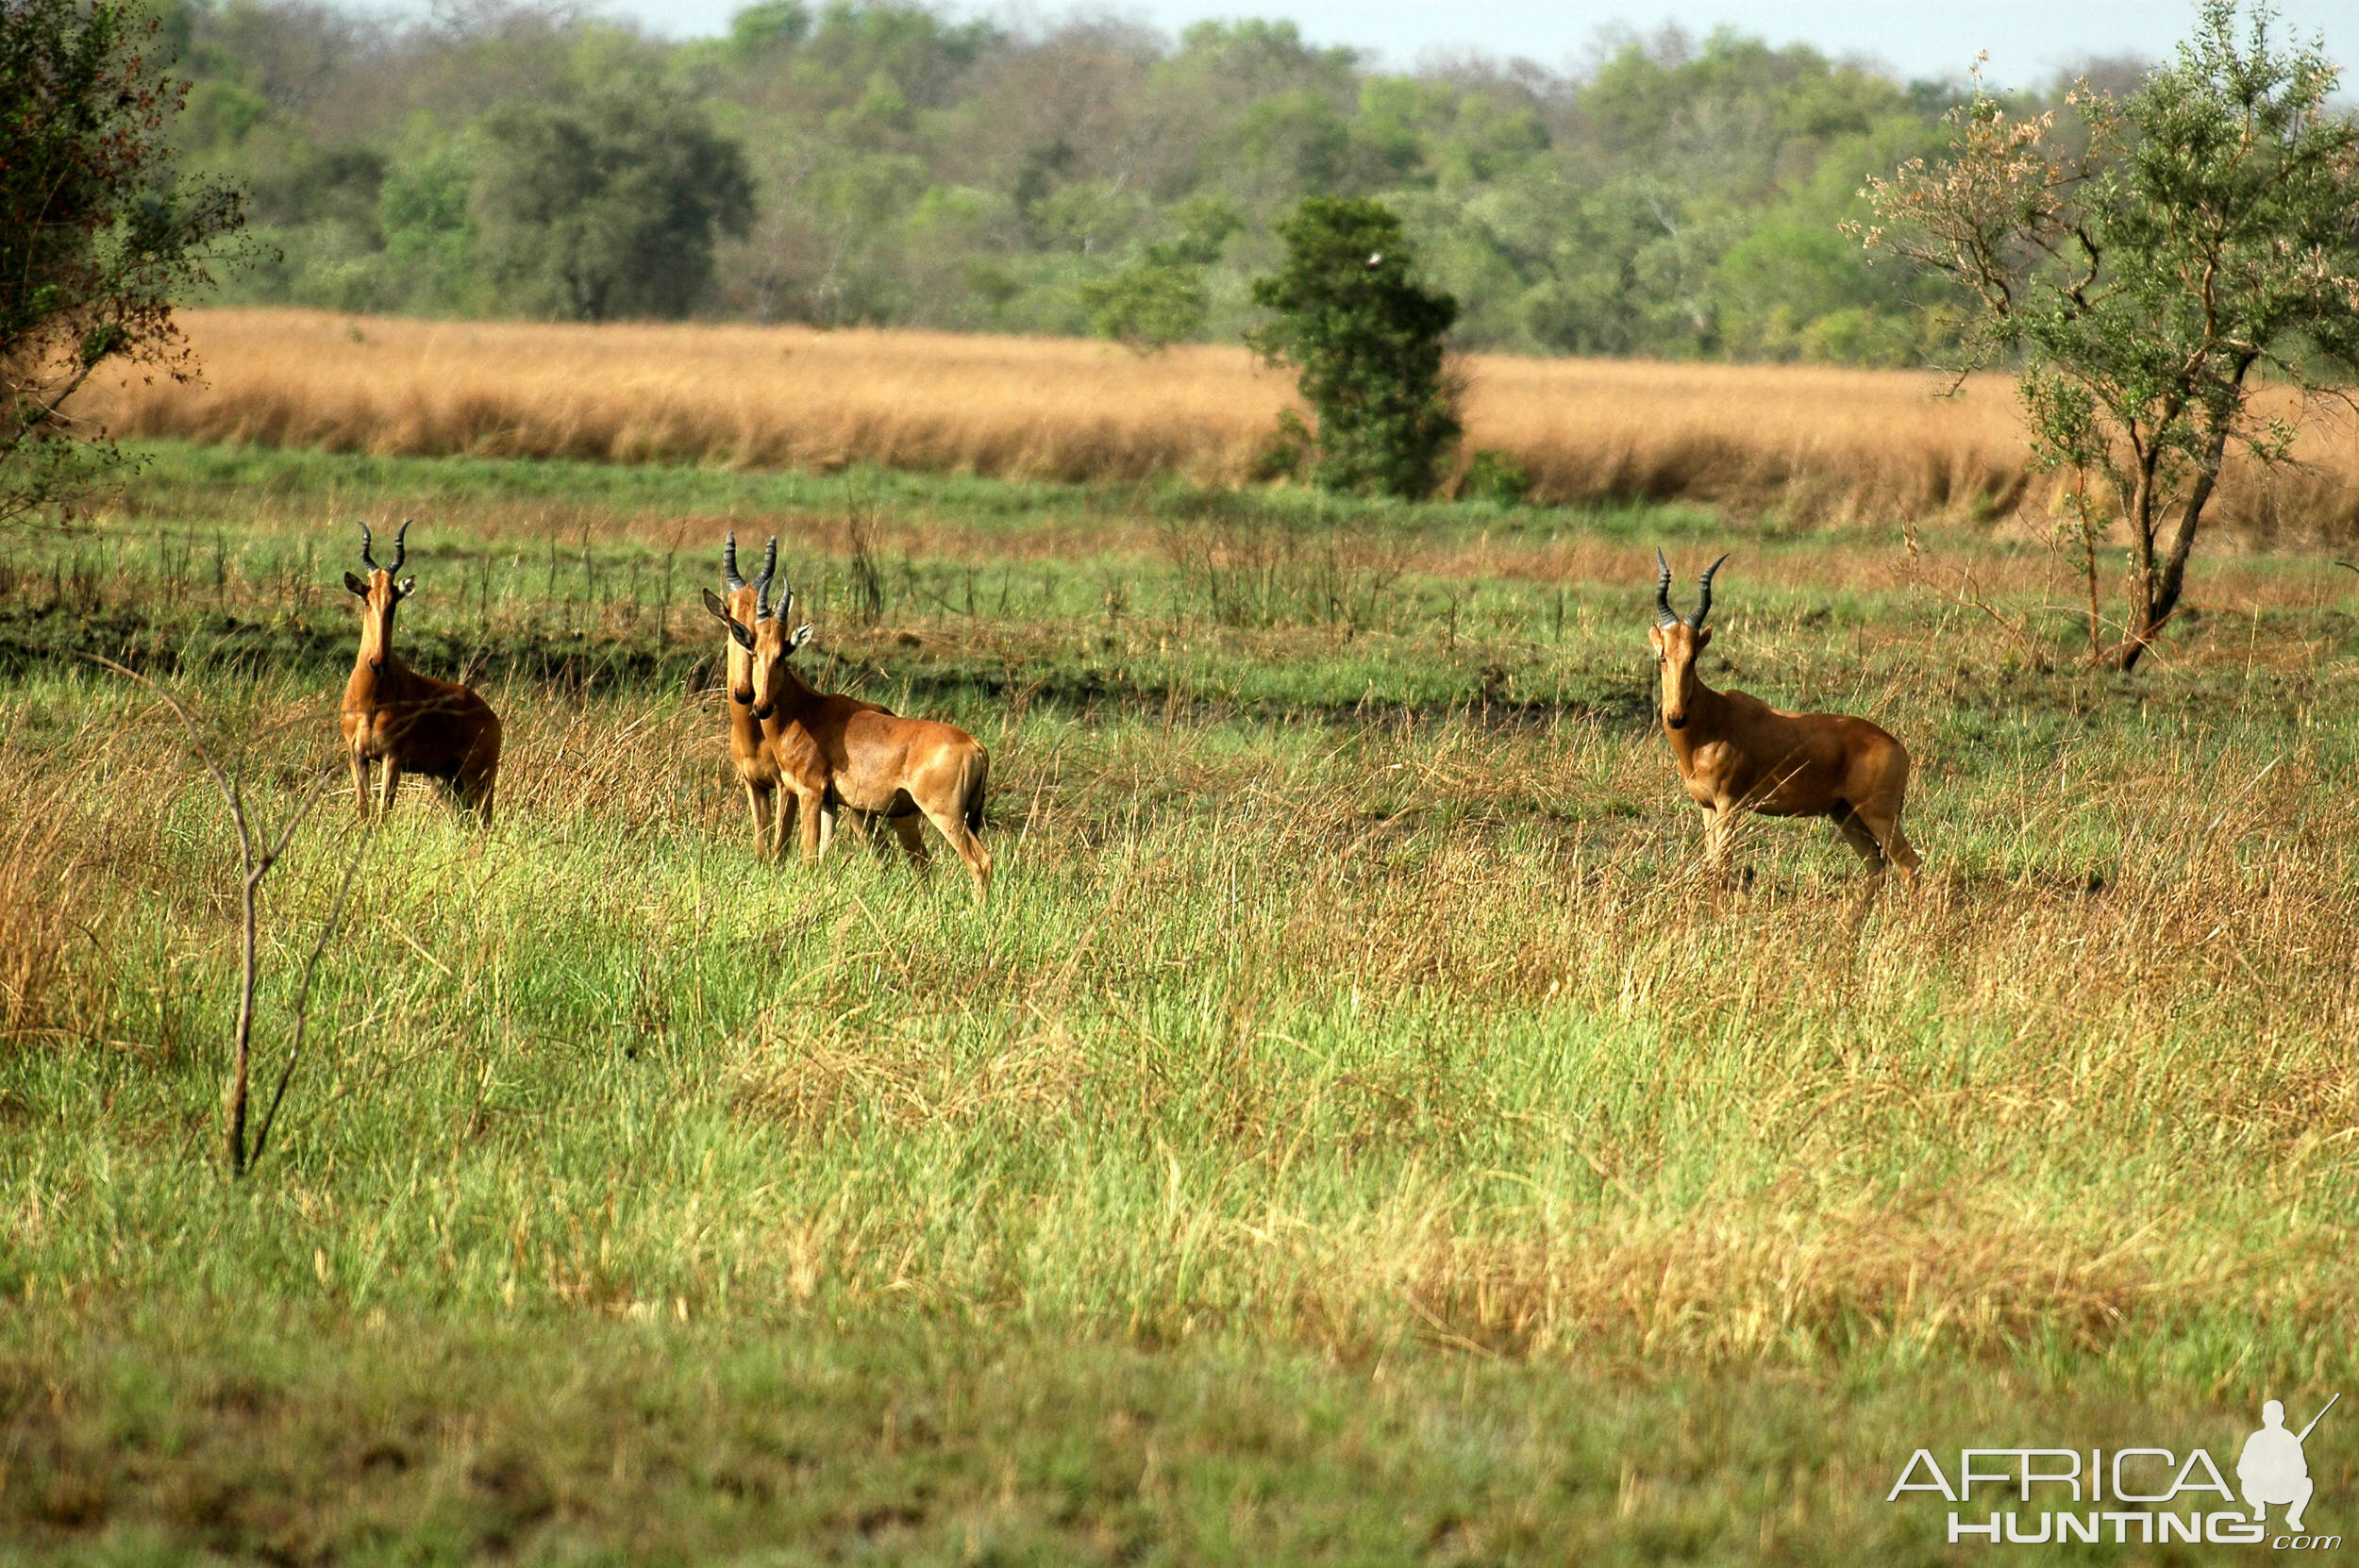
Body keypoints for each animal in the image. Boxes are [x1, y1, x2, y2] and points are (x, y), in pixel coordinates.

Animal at [337, 523, 502, 825]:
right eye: (367, 598)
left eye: (394, 600)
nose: (377, 662)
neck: (372, 699)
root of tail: (490, 715)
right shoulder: (357, 756)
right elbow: (364, 811)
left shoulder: (393, 758)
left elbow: (383, 813)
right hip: (447, 781)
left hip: (479, 777)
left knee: (484, 820)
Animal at [698, 542, 995, 900]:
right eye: (754, 650)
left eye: (783, 653)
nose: (760, 706)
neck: (809, 710)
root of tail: (975, 745)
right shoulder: (830, 802)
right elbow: (822, 857)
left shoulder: (808, 792)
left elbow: (807, 855)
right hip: (910, 815)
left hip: (944, 814)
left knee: (980, 861)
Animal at [1661, 549, 1916, 886]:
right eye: (1663, 656)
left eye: (1693, 657)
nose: (1676, 717)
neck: (1714, 719)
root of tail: (1898, 748)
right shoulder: (1708, 807)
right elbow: (1711, 866)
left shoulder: (1730, 805)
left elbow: (1721, 868)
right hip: (1846, 814)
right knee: (1876, 869)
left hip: (1879, 814)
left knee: (1910, 865)